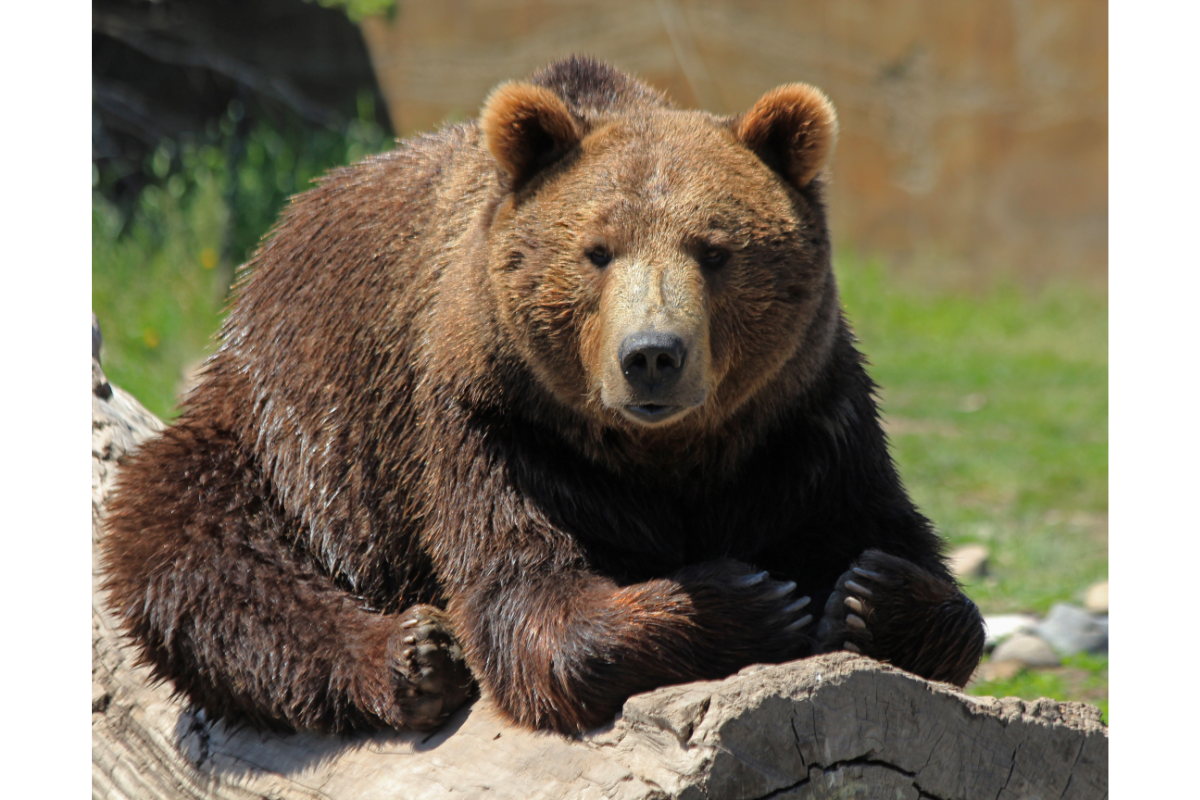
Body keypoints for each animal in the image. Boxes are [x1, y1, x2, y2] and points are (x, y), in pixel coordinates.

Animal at [100, 57, 984, 738]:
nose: (651, 356)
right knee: (193, 546)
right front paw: (748, 600)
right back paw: (413, 656)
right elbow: (531, 602)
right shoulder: (498, 424)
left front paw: (873, 593)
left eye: (715, 250)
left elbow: (898, 546)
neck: (668, 454)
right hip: (286, 432)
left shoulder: (803, 419)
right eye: (597, 251)